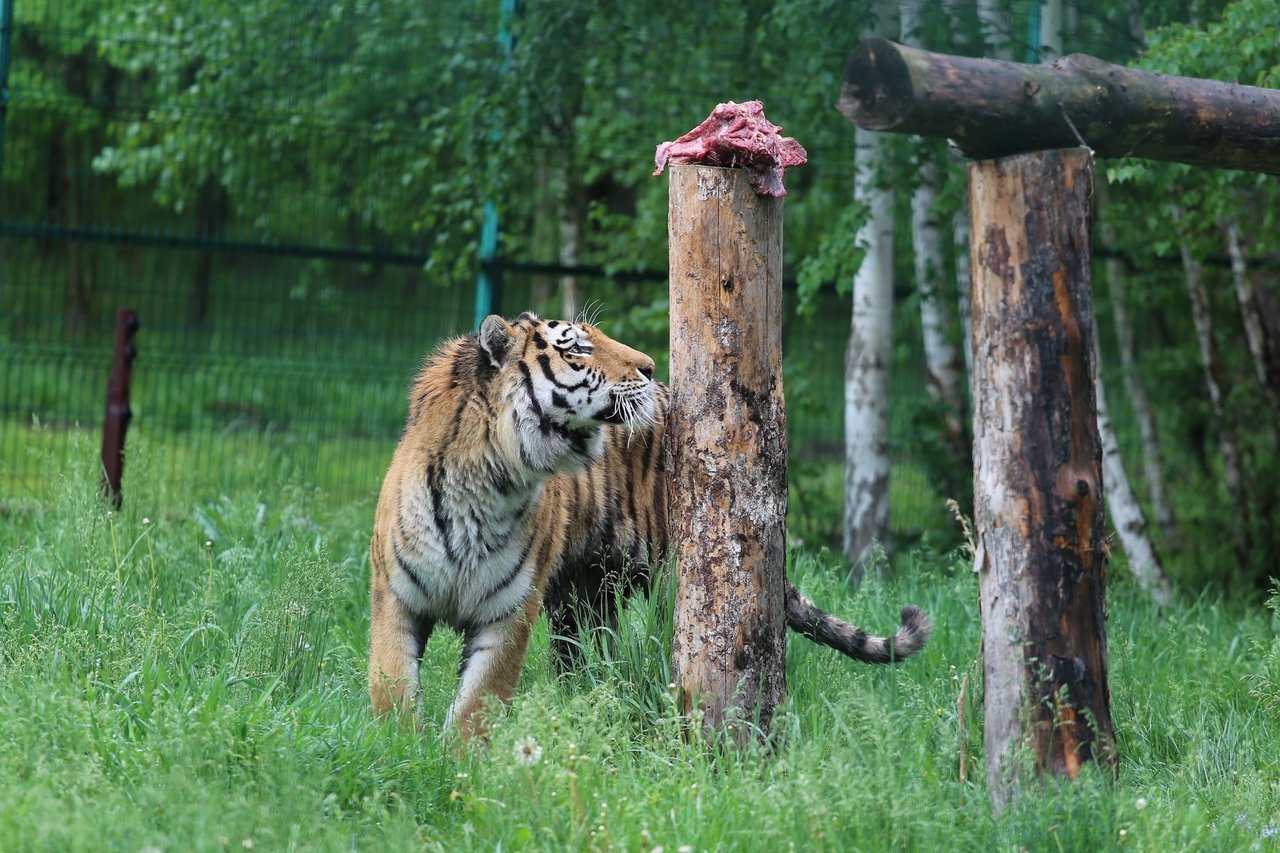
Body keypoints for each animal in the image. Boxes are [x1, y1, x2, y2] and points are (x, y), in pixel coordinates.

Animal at [371, 308, 931, 732]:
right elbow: (391, 688)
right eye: (578, 347)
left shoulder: (508, 613)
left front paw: (454, 764)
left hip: (671, 581)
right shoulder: (396, 598)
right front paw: (406, 755)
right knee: (585, 659)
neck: (490, 482)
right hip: (582, 595)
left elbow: (476, 706)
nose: (649, 365)